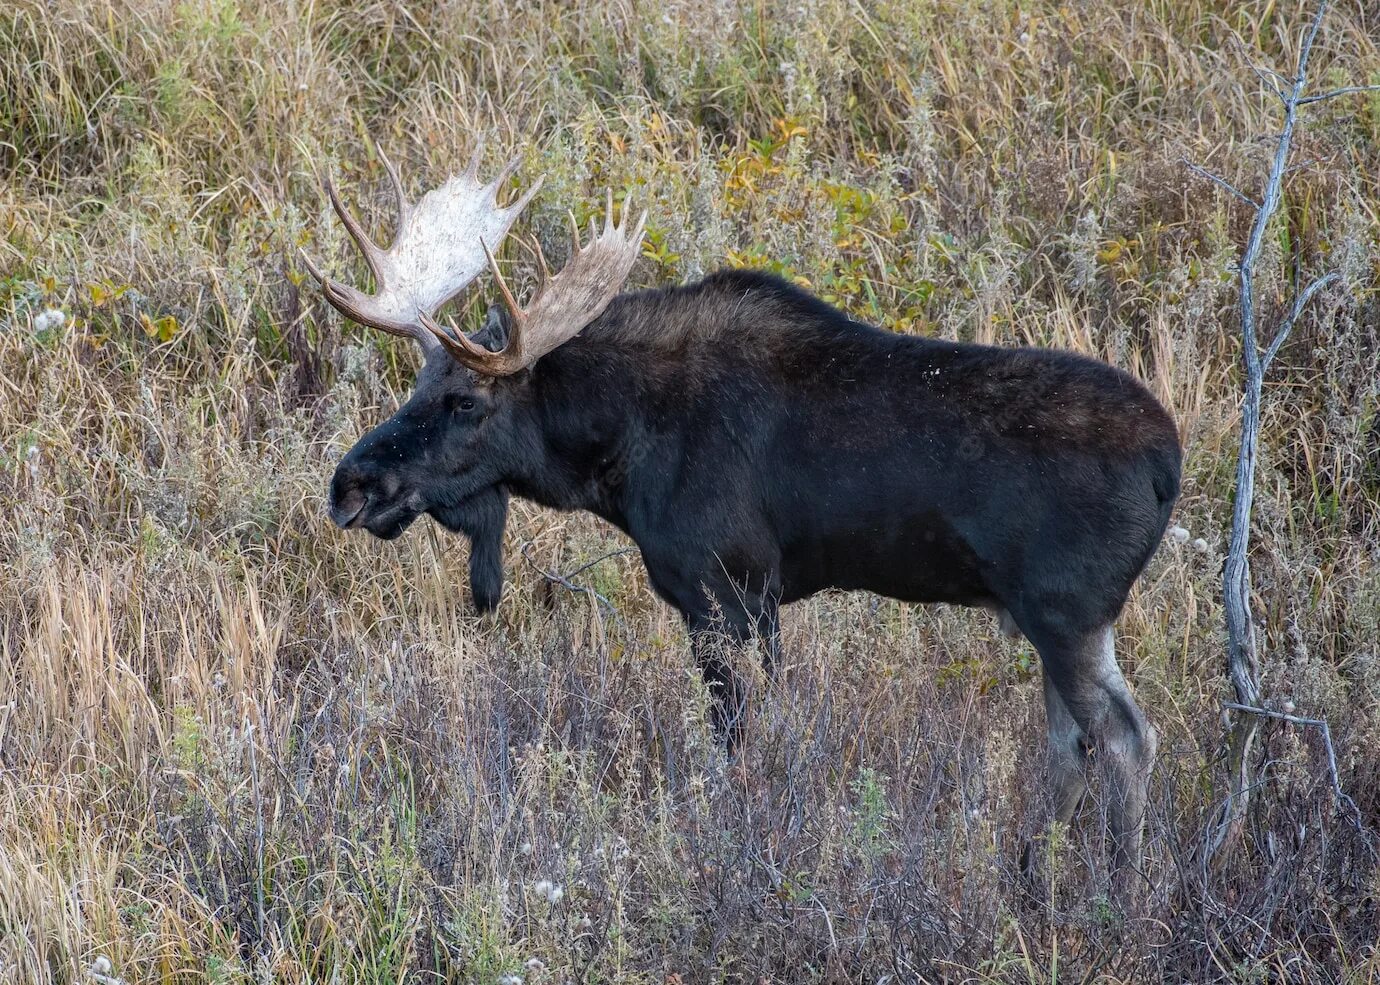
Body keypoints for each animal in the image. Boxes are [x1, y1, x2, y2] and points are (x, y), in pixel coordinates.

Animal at [307, 149, 1181, 888]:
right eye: (416, 386)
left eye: (465, 400)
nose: (350, 485)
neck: (617, 447)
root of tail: (1168, 465)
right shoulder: (759, 601)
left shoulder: (722, 589)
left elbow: (734, 745)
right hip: (1050, 618)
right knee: (1071, 743)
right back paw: (1031, 879)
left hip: (1066, 611)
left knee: (1125, 739)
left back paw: (1122, 891)